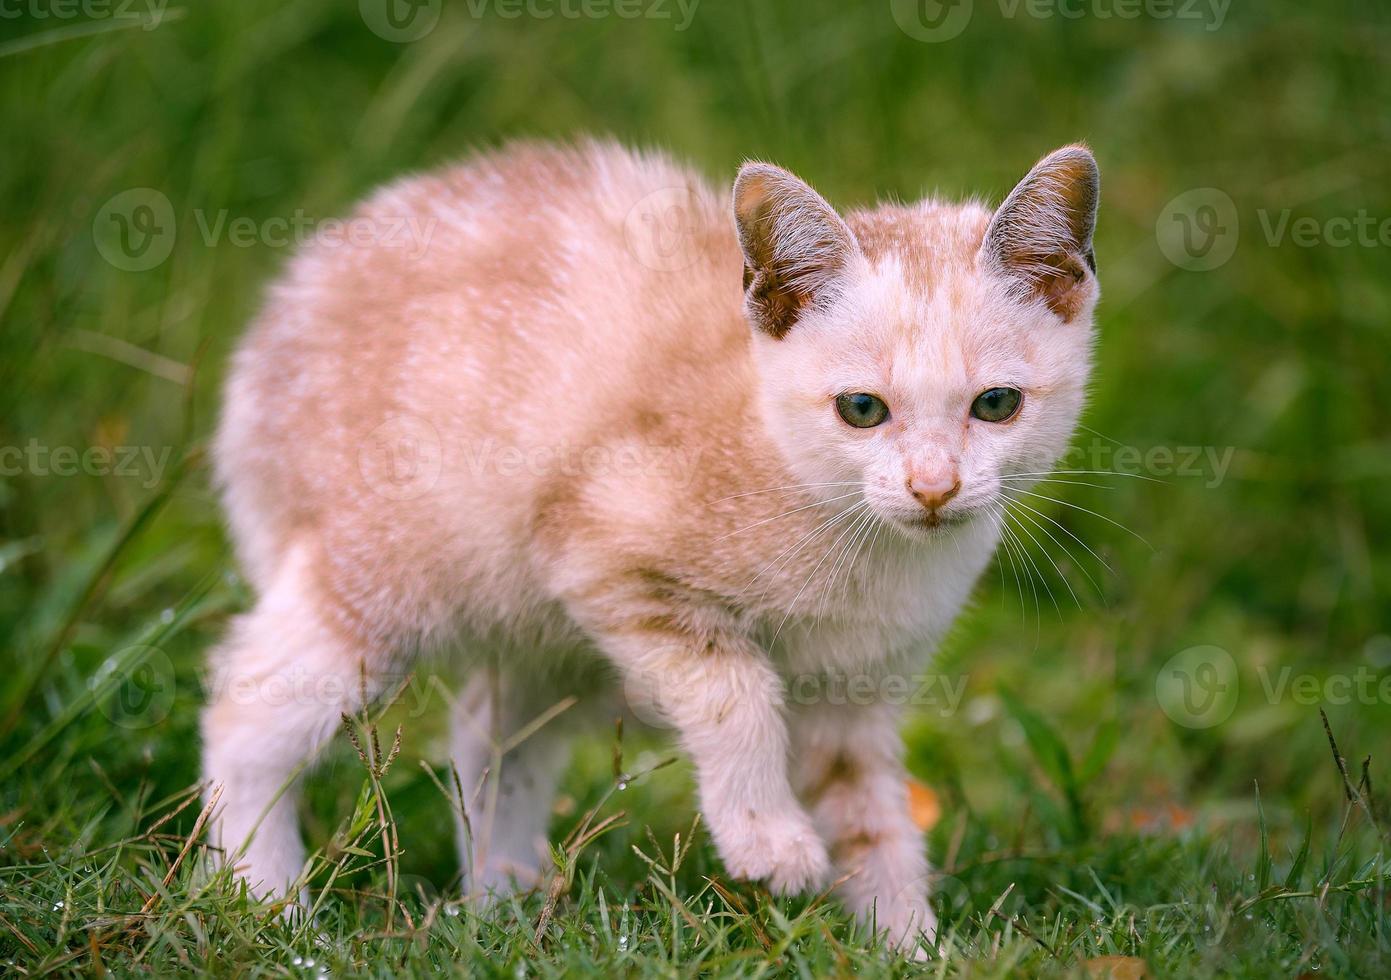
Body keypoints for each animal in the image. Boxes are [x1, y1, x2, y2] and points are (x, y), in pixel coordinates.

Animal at [203, 137, 1096, 945]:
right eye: (862, 410)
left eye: (996, 404)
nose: (933, 487)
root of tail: (278, 321)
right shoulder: (599, 552)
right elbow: (737, 693)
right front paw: (769, 842)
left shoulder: (857, 687)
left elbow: (870, 815)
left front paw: (906, 943)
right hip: (384, 575)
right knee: (244, 708)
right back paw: (267, 905)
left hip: (535, 632)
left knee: (490, 735)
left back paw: (503, 909)